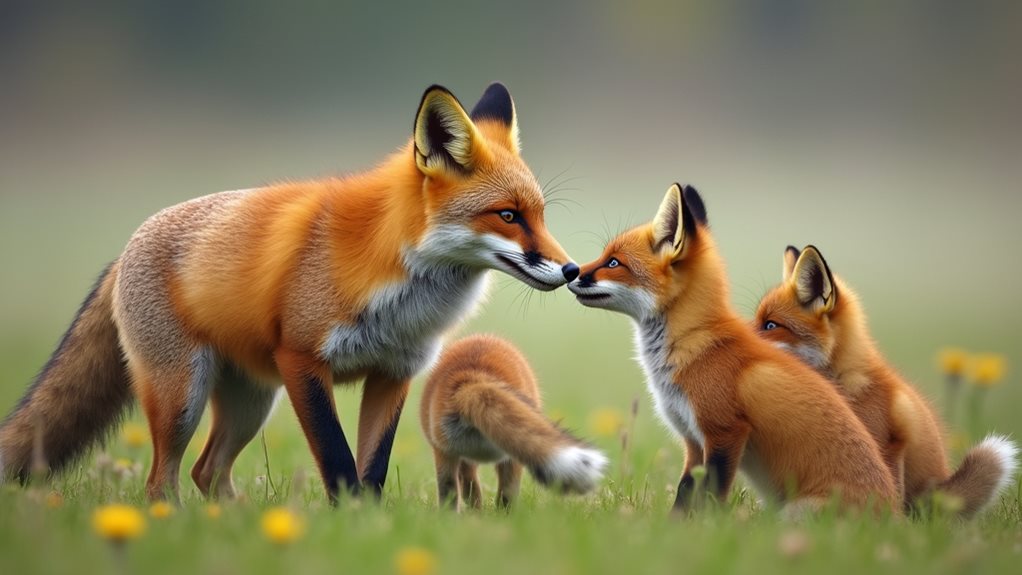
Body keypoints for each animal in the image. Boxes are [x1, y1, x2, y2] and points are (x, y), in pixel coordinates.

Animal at [0, 82, 582, 503]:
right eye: (508, 216)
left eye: (540, 215)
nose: (572, 269)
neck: (399, 283)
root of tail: (123, 252)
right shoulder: (302, 360)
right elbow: (339, 461)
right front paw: (348, 524)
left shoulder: (394, 371)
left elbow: (372, 469)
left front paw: (368, 524)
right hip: (183, 395)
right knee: (161, 481)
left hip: (251, 402)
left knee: (207, 472)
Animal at [567, 183, 899, 514]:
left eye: (613, 263)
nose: (572, 272)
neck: (693, 348)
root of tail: (895, 515)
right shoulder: (693, 440)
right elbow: (684, 494)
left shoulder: (725, 432)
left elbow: (712, 495)